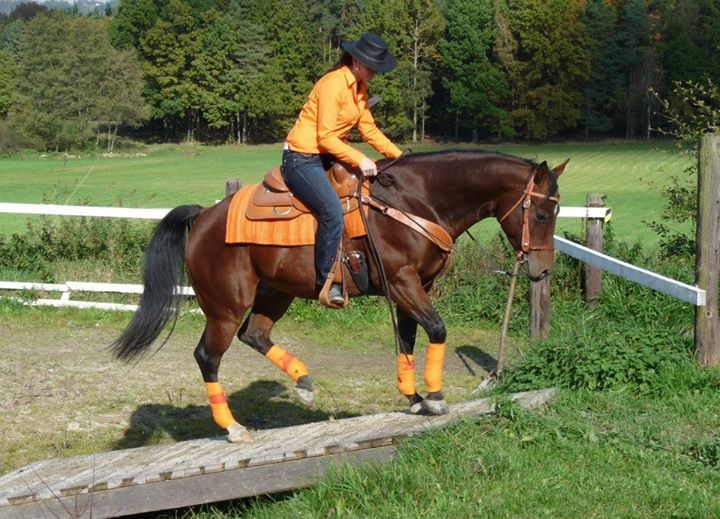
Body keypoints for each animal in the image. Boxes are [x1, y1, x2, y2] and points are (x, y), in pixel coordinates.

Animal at [111, 149, 568, 442]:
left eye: (557, 212)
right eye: (543, 213)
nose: (542, 270)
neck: (416, 201)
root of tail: (204, 215)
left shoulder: (414, 287)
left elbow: (408, 339)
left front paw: (415, 398)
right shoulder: (403, 282)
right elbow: (437, 329)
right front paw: (435, 397)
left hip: (275, 293)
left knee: (255, 335)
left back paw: (303, 382)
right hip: (225, 306)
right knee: (208, 356)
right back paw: (233, 427)